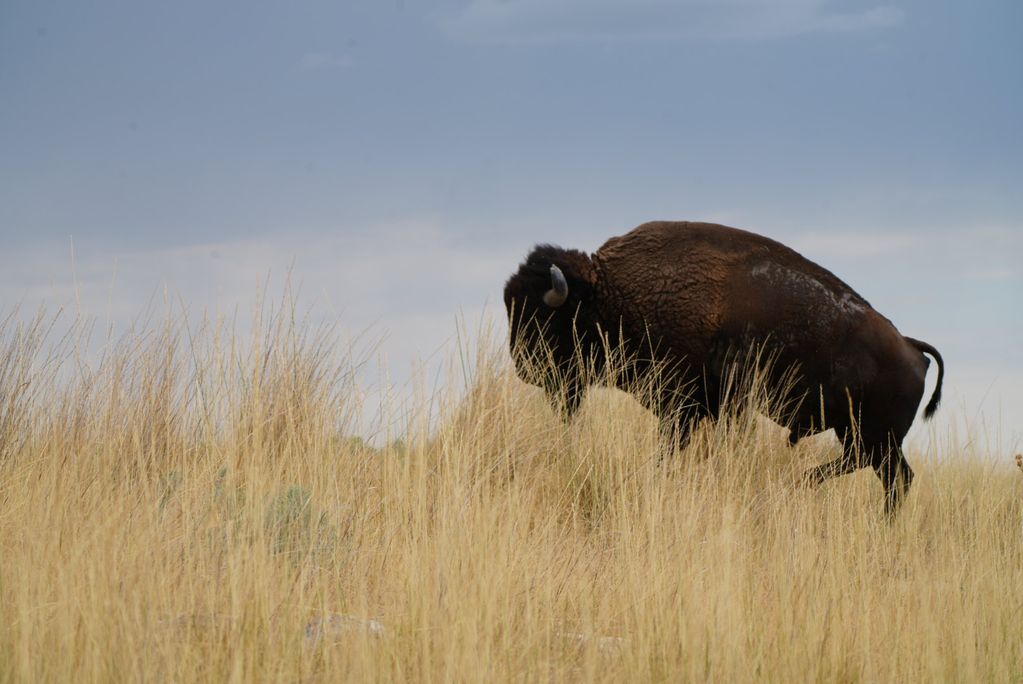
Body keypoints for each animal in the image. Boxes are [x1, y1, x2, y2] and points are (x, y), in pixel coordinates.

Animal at [503, 221, 944, 515]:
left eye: (544, 316)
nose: (524, 367)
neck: (611, 294)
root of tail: (911, 347)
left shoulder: (684, 406)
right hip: (862, 435)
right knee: (888, 475)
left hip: (874, 436)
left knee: (891, 477)